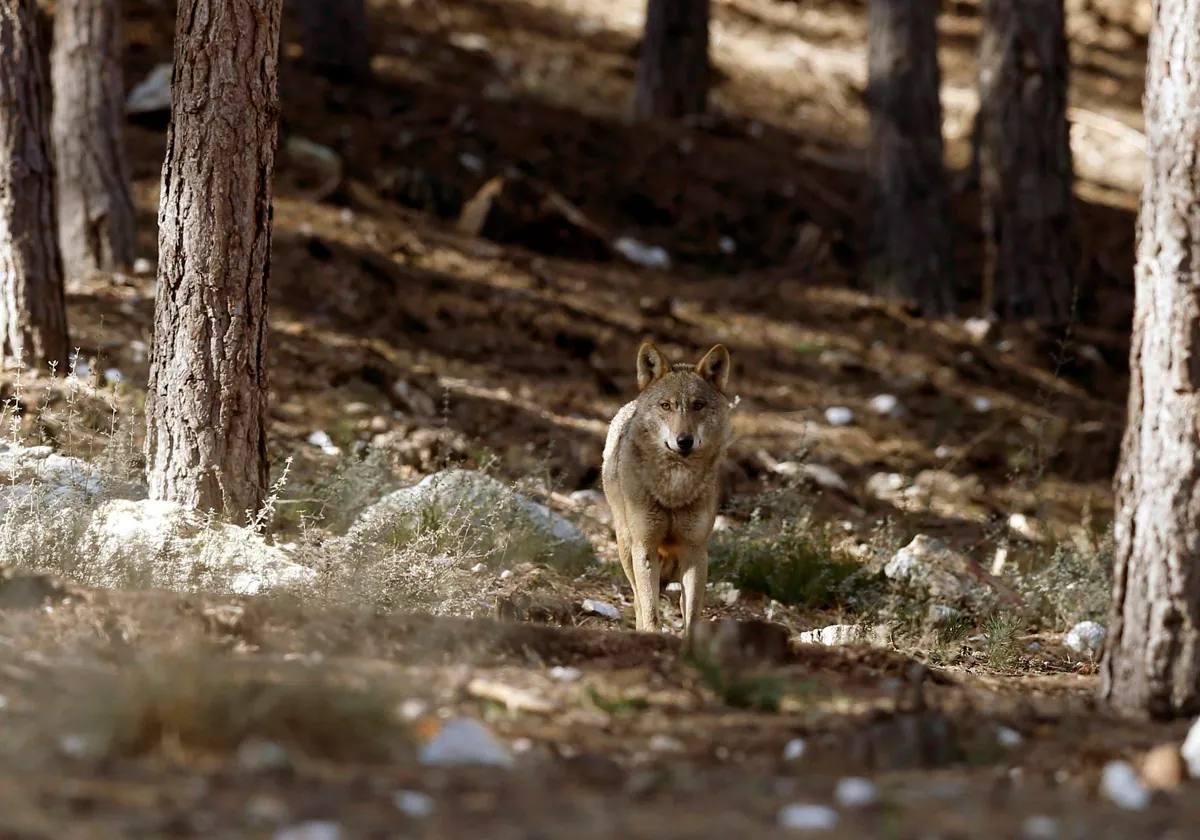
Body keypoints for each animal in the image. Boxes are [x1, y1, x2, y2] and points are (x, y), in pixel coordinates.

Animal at [600, 340, 729, 638]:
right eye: (666, 405)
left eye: (698, 405)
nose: (684, 441)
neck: (674, 489)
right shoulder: (645, 547)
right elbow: (650, 611)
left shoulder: (695, 551)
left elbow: (691, 616)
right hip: (627, 547)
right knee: (638, 600)